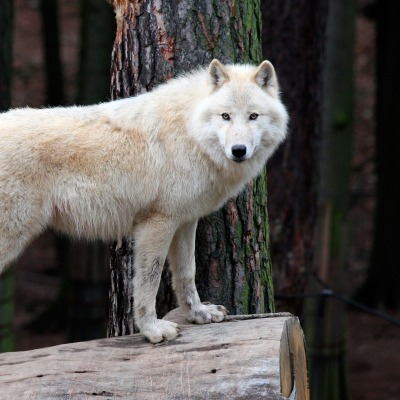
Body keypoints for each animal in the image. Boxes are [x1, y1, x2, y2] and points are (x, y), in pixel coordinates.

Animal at [0, 60, 288, 344]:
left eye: (253, 116)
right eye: (225, 116)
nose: (238, 151)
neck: (190, 131)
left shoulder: (185, 221)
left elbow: (187, 272)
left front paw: (199, 314)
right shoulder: (157, 223)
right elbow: (150, 279)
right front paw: (152, 330)